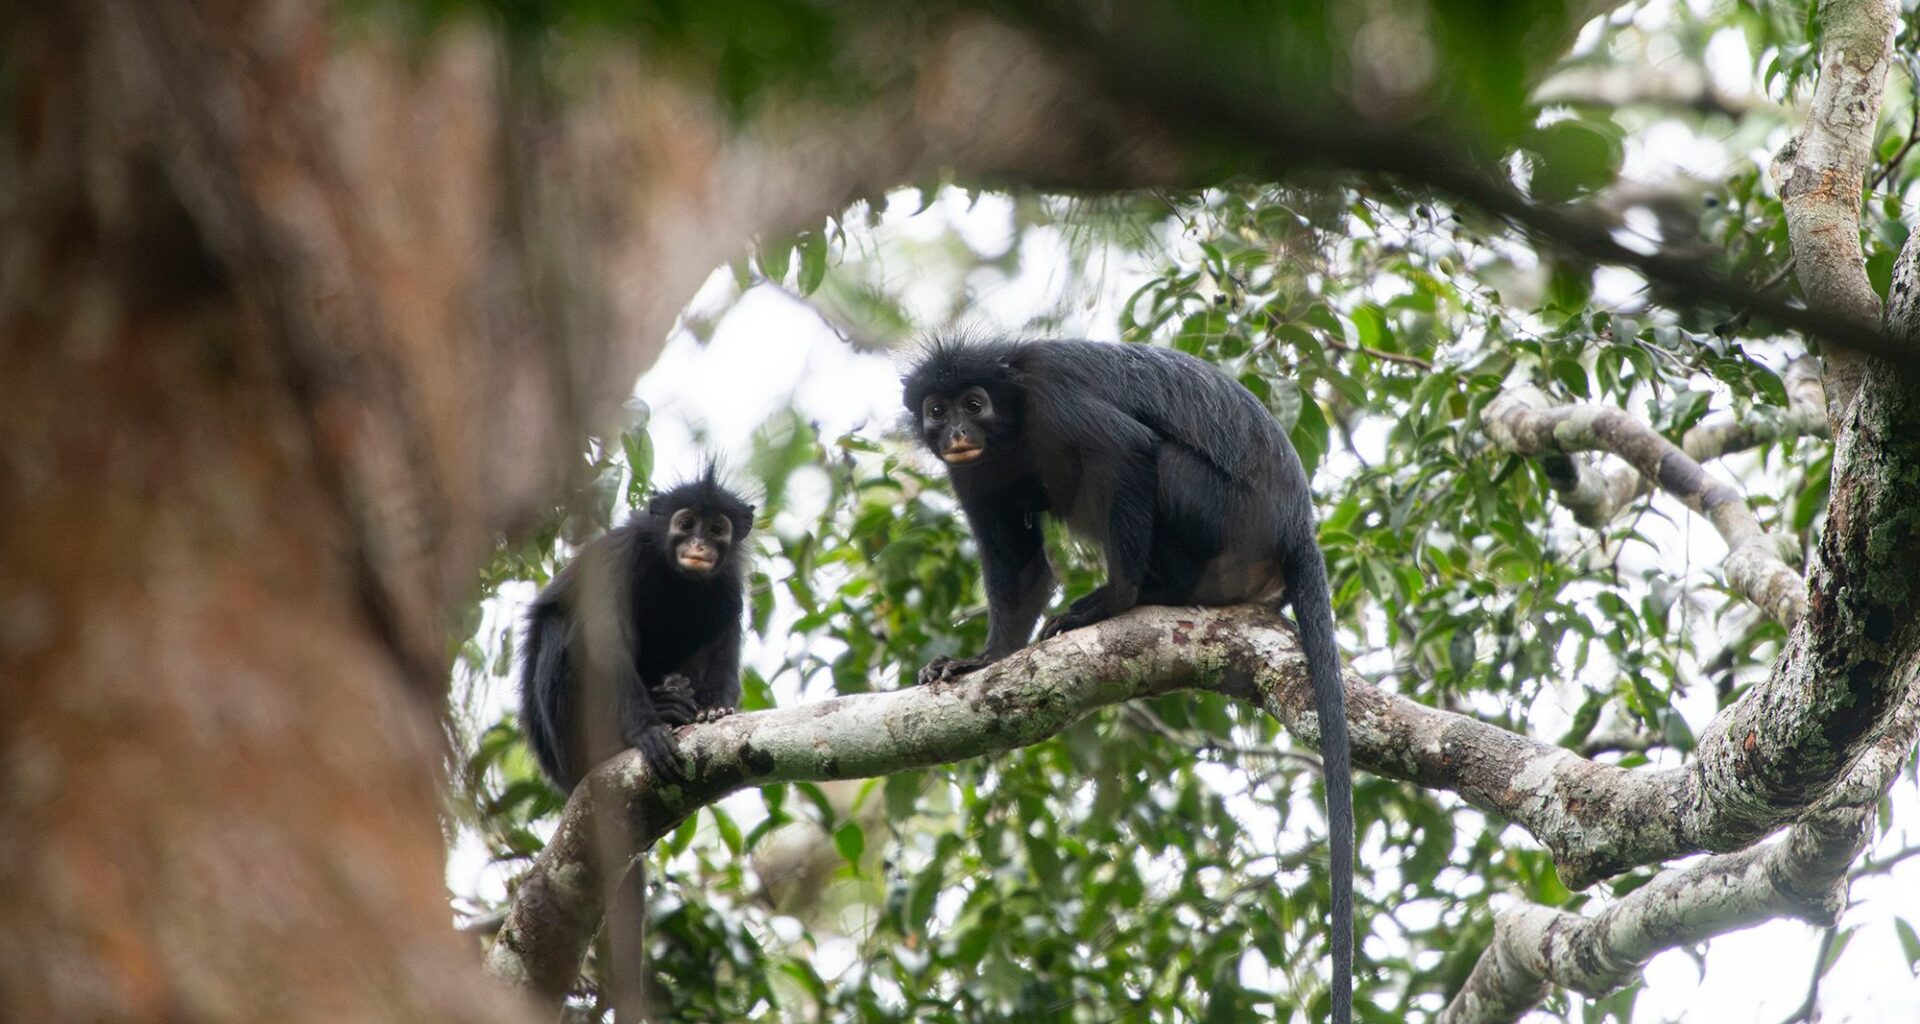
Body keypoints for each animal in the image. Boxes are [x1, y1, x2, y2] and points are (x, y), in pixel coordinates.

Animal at [519, 467, 754, 790]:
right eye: (686, 524)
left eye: (716, 529)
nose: (699, 545)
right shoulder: (620, 555)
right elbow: (605, 642)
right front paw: (646, 729)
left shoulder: (729, 584)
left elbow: (723, 644)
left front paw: (715, 706)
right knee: (558, 625)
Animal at [902, 337, 1354, 1024]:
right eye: (937, 409)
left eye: (974, 404)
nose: (955, 431)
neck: (1011, 422)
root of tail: (1296, 525)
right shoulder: (973, 472)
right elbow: (1021, 570)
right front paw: (980, 661)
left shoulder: (1051, 399)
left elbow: (1129, 451)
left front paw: (1114, 600)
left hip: (1222, 515)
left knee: (1153, 459)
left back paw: (1146, 593)